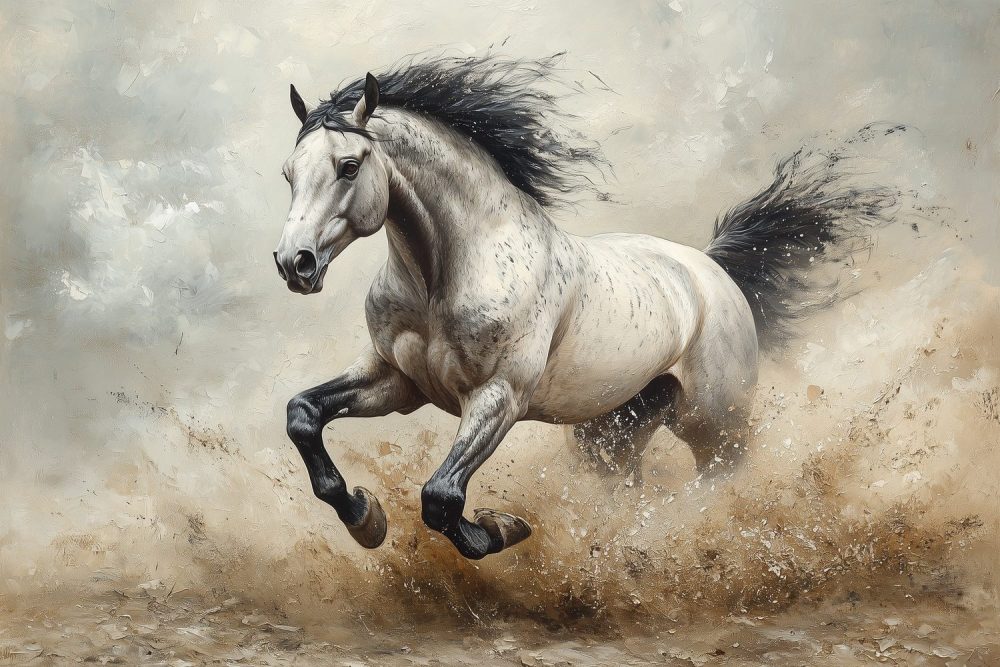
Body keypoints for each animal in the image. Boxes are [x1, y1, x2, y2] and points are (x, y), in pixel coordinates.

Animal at [273, 55, 895, 560]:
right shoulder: (397, 381)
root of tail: (711, 268)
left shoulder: (498, 398)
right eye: (288, 173)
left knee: (723, 482)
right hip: (614, 432)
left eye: (349, 166)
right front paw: (365, 517)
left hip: (717, 427)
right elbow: (303, 413)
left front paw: (502, 528)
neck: (443, 276)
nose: (294, 264)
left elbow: (441, 496)